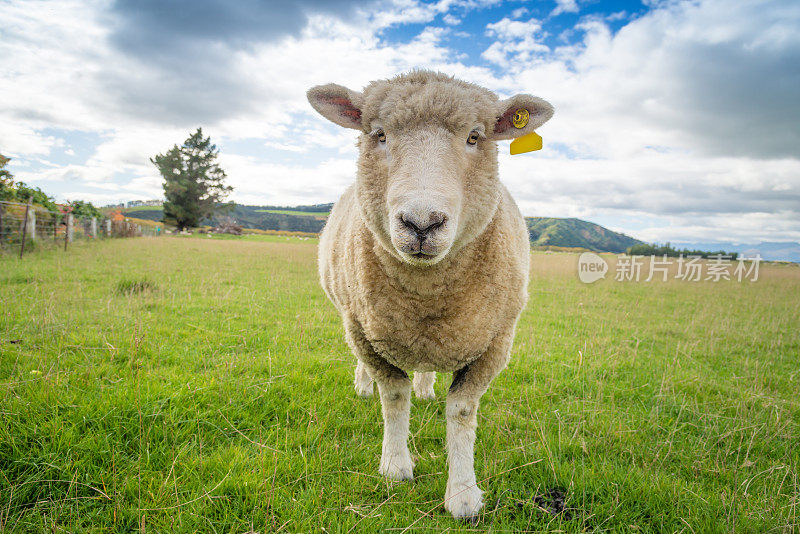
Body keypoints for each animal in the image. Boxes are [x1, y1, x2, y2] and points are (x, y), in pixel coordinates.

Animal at [310, 69, 552, 520]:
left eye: (475, 137)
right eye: (380, 135)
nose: (422, 223)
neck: (427, 295)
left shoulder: (496, 340)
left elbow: (461, 410)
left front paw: (463, 494)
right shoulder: (364, 331)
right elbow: (393, 396)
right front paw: (395, 466)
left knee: (426, 365)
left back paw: (425, 387)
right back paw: (364, 386)